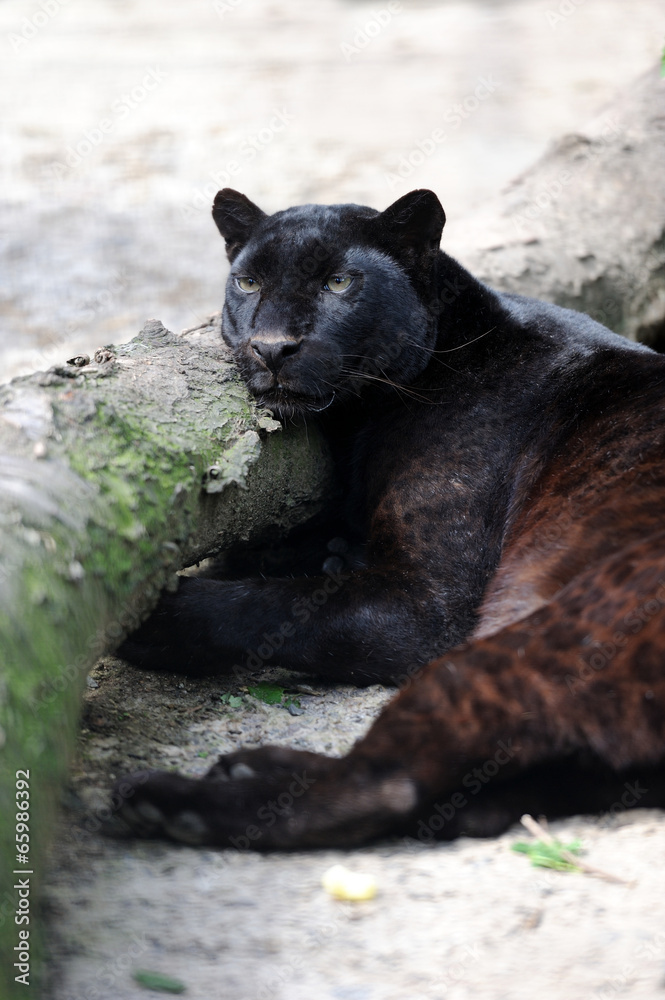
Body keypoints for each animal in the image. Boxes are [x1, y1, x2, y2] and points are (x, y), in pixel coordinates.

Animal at [113, 187, 665, 849]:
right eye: (248, 282)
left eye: (339, 282)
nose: (271, 346)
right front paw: (315, 553)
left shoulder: (429, 601)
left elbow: (283, 606)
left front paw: (155, 616)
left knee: (385, 784)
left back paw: (171, 801)